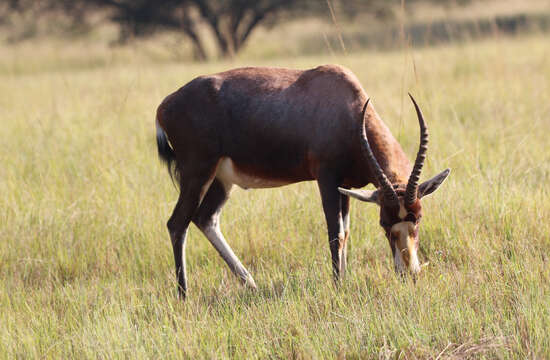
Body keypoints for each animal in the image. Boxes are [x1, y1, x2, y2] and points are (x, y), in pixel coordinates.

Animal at [154, 64, 448, 298]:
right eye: (384, 223)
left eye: (418, 218)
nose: (409, 272)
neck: (347, 105)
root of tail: (164, 106)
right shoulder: (326, 179)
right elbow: (335, 233)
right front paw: (338, 285)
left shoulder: (345, 186)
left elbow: (346, 232)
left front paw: (345, 278)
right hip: (197, 174)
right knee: (177, 223)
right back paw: (184, 295)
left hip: (221, 180)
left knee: (206, 218)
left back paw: (251, 284)